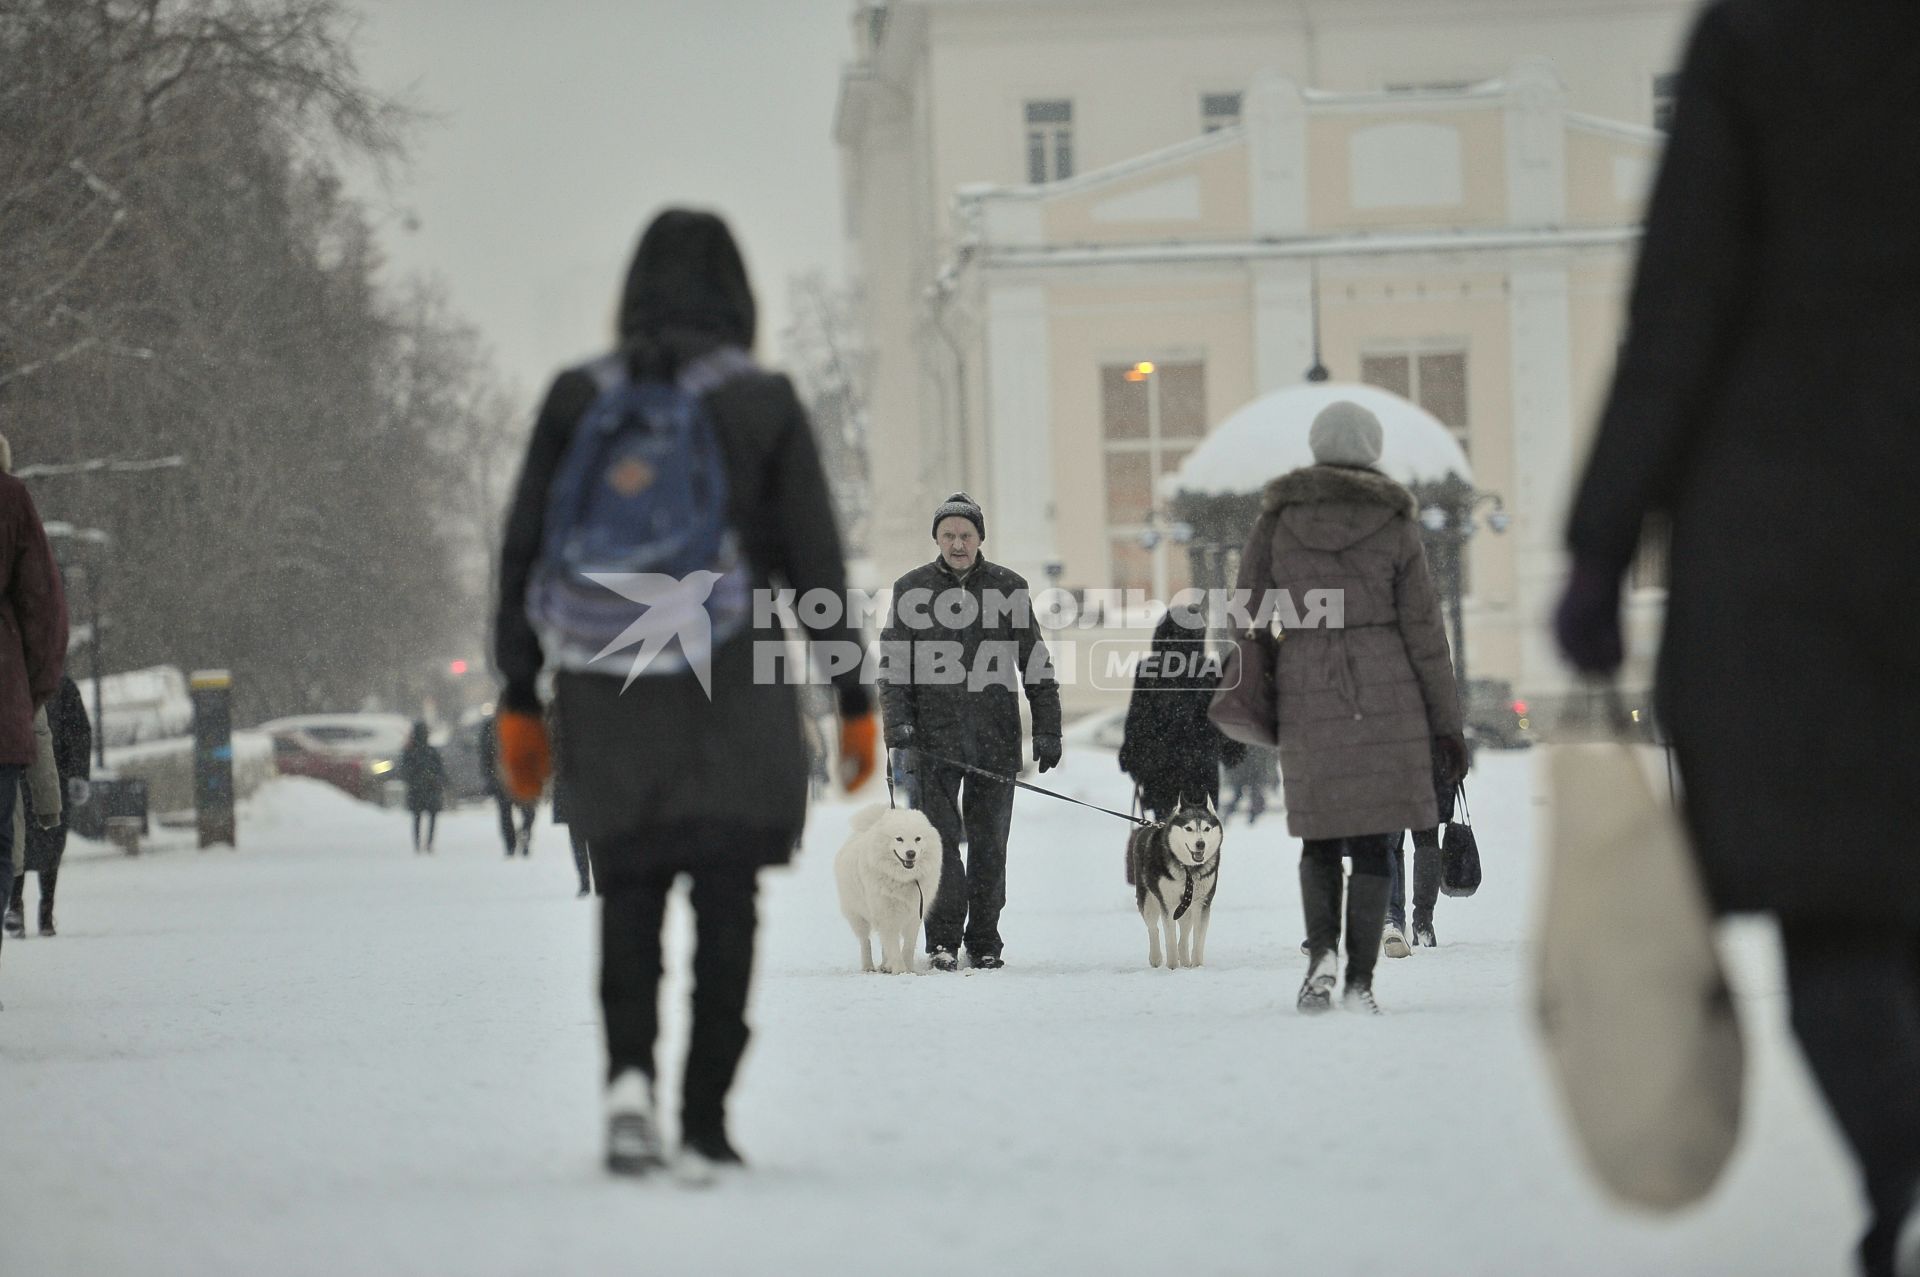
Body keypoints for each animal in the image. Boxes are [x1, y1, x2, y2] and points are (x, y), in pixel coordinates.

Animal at [833, 806, 944, 975]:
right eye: (899, 839)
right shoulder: (886, 915)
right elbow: (893, 947)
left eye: (918, 838)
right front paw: (900, 970)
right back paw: (868, 966)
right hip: (857, 916)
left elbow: (907, 946)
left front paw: (909, 969)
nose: (911, 853)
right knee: (865, 941)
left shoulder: (914, 916)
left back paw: (885, 966)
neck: (902, 879)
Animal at [1121, 798, 1228, 967]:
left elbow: (1198, 938)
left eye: (1207, 828)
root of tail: (1146, 827)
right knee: (1153, 928)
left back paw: (1185, 961)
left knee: (1184, 933)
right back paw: (1156, 958)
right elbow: (1169, 937)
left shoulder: (1202, 902)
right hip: (1147, 899)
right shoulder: (1168, 903)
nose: (1201, 844)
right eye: (1188, 828)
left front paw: (1197, 966)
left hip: (1186, 907)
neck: (1188, 869)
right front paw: (1172, 966)